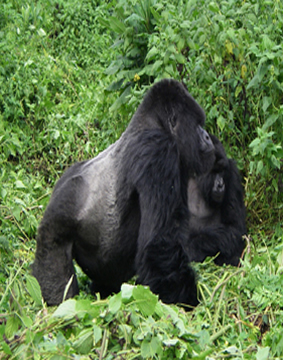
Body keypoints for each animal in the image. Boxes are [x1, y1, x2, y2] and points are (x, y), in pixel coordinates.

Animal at [32, 79, 215, 306]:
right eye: (198, 124)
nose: (207, 137)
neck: (152, 124)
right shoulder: (158, 151)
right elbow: (160, 246)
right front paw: (187, 302)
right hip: (55, 228)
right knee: (56, 277)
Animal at [186, 134, 246, 266]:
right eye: (214, 171)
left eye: (222, 171)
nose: (220, 185)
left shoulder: (232, 173)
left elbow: (234, 228)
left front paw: (191, 249)